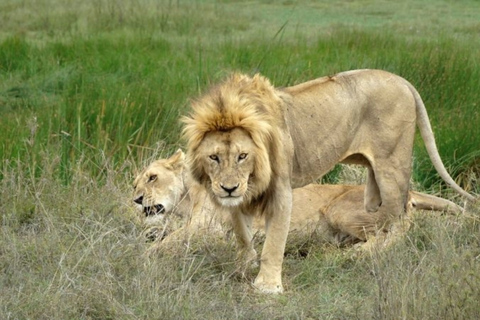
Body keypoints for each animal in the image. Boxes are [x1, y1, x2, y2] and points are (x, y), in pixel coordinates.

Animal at [132, 150, 462, 245]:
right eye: (135, 182)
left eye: (152, 177)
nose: (136, 200)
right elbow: (162, 234)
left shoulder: (206, 229)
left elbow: (163, 246)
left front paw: (145, 258)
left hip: (341, 210)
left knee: (396, 233)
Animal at [182, 69, 474, 292]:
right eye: (214, 157)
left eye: (242, 156)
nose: (229, 188)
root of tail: (404, 81)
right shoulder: (240, 199)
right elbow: (242, 235)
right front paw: (243, 268)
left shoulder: (281, 191)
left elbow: (274, 243)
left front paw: (268, 287)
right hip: (372, 188)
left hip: (390, 168)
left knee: (401, 219)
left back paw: (358, 254)